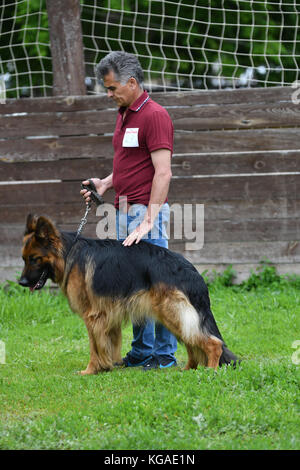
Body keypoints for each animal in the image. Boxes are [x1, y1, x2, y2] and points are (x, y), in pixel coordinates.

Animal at [19, 214, 239, 374]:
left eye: (34, 259)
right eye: (24, 259)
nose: (21, 283)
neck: (68, 254)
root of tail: (192, 272)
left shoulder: (93, 317)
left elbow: (94, 347)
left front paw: (90, 370)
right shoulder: (108, 317)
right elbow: (109, 344)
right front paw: (108, 366)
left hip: (173, 313)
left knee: (213, 343)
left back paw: (210, 371)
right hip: (174, 317)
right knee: (193, 344)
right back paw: (188, 370)